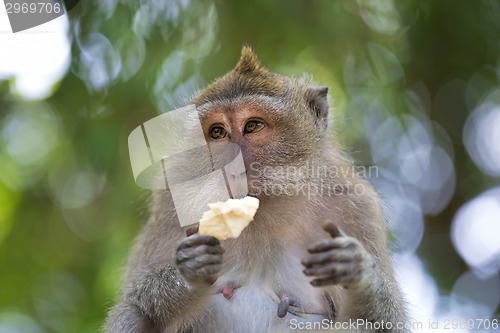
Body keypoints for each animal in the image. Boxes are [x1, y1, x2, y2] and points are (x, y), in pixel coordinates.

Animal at [104, 46, 406, 332]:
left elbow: (385, 323)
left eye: (252, 126)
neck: (261, 212)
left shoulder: (355, 204)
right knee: (131, 313)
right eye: (217, 132)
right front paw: (189, 269)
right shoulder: (171, 203)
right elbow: (134, 299)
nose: (233, 165)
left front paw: (357, 270)